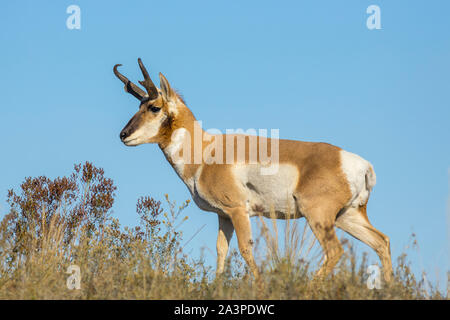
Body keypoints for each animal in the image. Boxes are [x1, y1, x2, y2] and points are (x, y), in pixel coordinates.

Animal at [114, 58, 392, 282]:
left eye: (154, 107)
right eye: (138, 107)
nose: (123, 135)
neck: (205, 151)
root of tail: (358, 163)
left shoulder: (238, 211)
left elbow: (246, 249)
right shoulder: (223, 216)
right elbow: (221, 251)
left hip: (318, 215)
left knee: (335, 251)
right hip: (347, 216)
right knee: (382, 242)